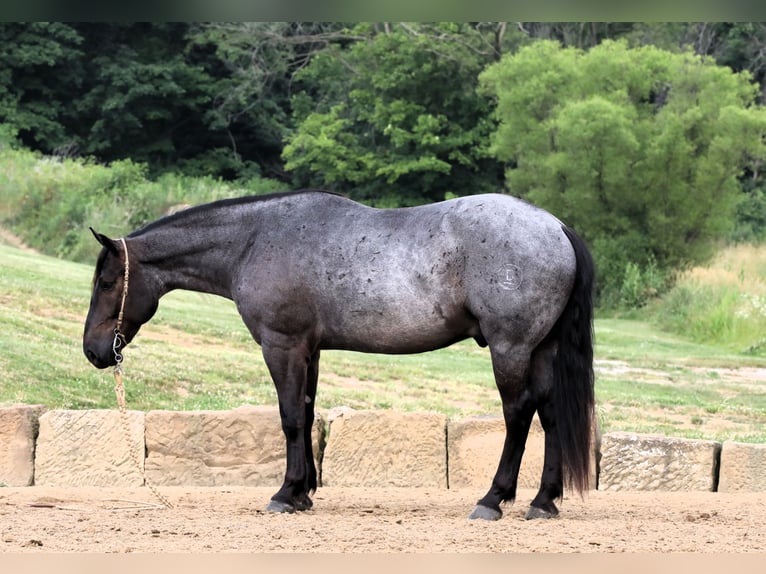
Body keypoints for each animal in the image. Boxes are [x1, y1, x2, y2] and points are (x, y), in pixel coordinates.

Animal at [85, 191, 600, 524]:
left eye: (107, 282)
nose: (93, 350)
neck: (255, 241)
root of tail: (556, 227)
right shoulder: (309, 351)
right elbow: (307, 412)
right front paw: (303, 492)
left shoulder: (282, 345)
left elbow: (291, 418)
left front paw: (285, 493)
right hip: (541, 350)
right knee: (550, 414)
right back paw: (543, 501)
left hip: (511, 349)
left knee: (518, 415)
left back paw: (493, 500)